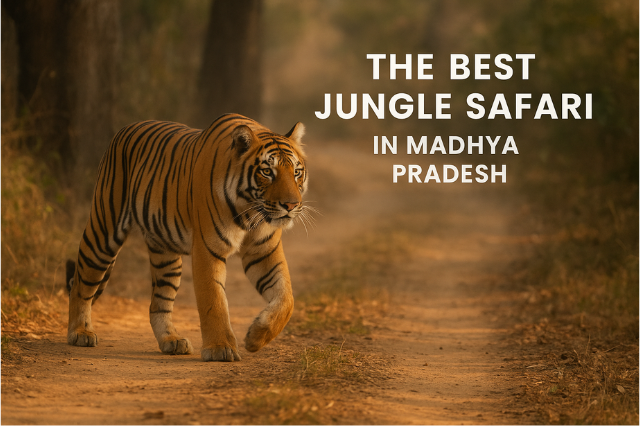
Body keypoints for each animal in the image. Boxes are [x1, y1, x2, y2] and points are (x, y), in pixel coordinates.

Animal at [65, 113, 310, 362]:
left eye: (296, 172)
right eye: (267, 172)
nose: (291, 205)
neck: (249, 211)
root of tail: (125, 128)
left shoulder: (264, 251)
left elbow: (286, 298)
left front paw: (255, 337)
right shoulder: (207, 249)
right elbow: (214, 300)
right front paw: (220, 349)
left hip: (166, 256)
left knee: (158, 304)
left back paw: (171, 340)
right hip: (102, 233)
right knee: (81, 285)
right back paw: (80, 333)